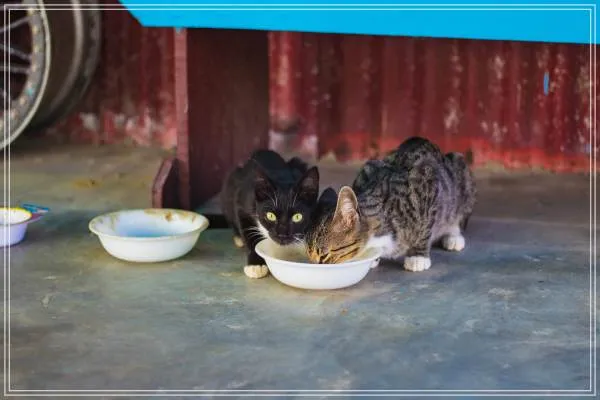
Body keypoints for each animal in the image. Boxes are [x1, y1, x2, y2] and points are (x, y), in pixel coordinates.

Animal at [220, 149, 320, 278]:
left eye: (297, 217)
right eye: (270, 216)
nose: (282, 234)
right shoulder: (242, 203)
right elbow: (250, 234)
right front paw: (256, 264)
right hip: (231, 184)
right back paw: (238, 238)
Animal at [305, 136, 476, 272]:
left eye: (324, 255)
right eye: (308, 253)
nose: (313, 267)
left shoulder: (428, 181)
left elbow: (426, 227)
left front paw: (418, 256)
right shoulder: (367, 169)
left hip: (460, 171)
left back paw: (453, 235)